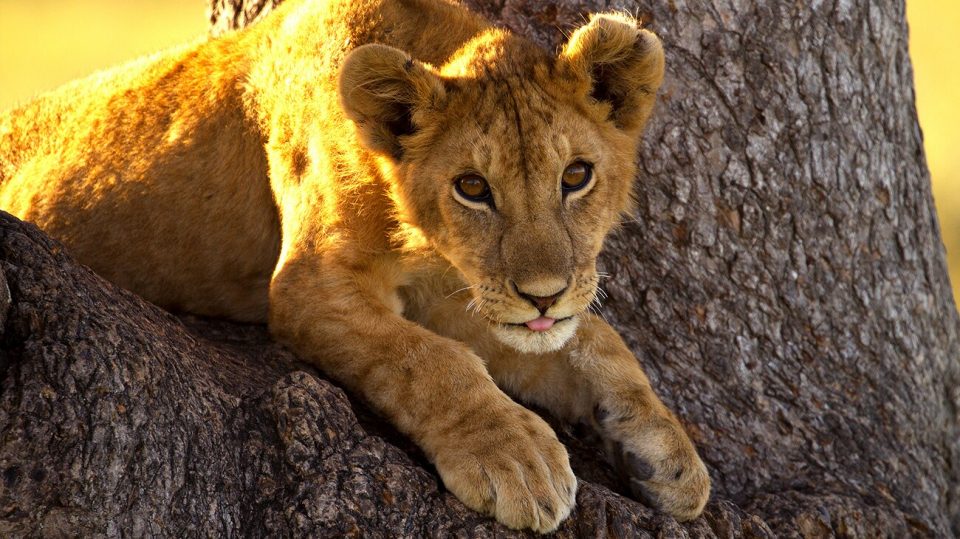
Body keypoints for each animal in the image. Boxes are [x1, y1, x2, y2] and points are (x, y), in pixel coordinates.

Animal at [0, 0, 710, 531]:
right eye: (472, 188)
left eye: (576, 176)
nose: (544, 295)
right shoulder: (311, 284)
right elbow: (430, 362)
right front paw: (516, 459)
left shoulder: (465, 295)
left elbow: (593, 339)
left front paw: (669, 454)